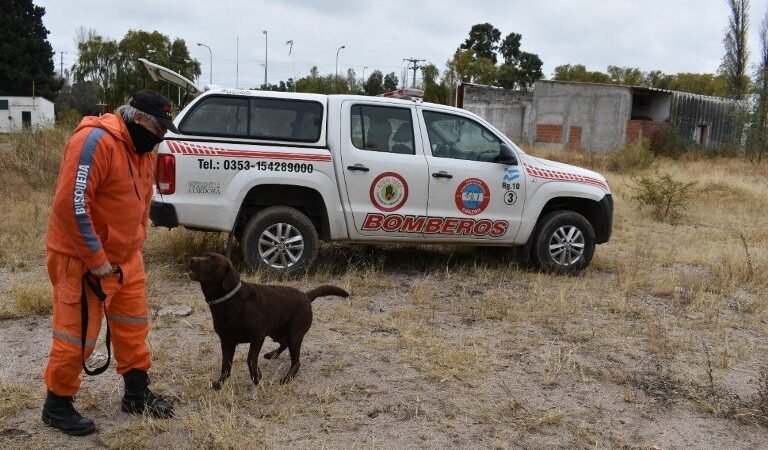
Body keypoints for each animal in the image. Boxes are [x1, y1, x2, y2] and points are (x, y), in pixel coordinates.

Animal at [188, 251, 348, 388]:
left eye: (212, 261)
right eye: (205, 255)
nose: (191, 259)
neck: (229, 301)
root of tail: (306, 295)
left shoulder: (257, 336)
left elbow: (250, 359)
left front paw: (256, 376)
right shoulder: (226, 341)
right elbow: (225, 366)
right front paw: (220, 383)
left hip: (295, 334)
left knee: (296, 362)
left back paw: (287, 377)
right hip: (277, 332)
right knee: (284, 343)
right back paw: (272, 354)